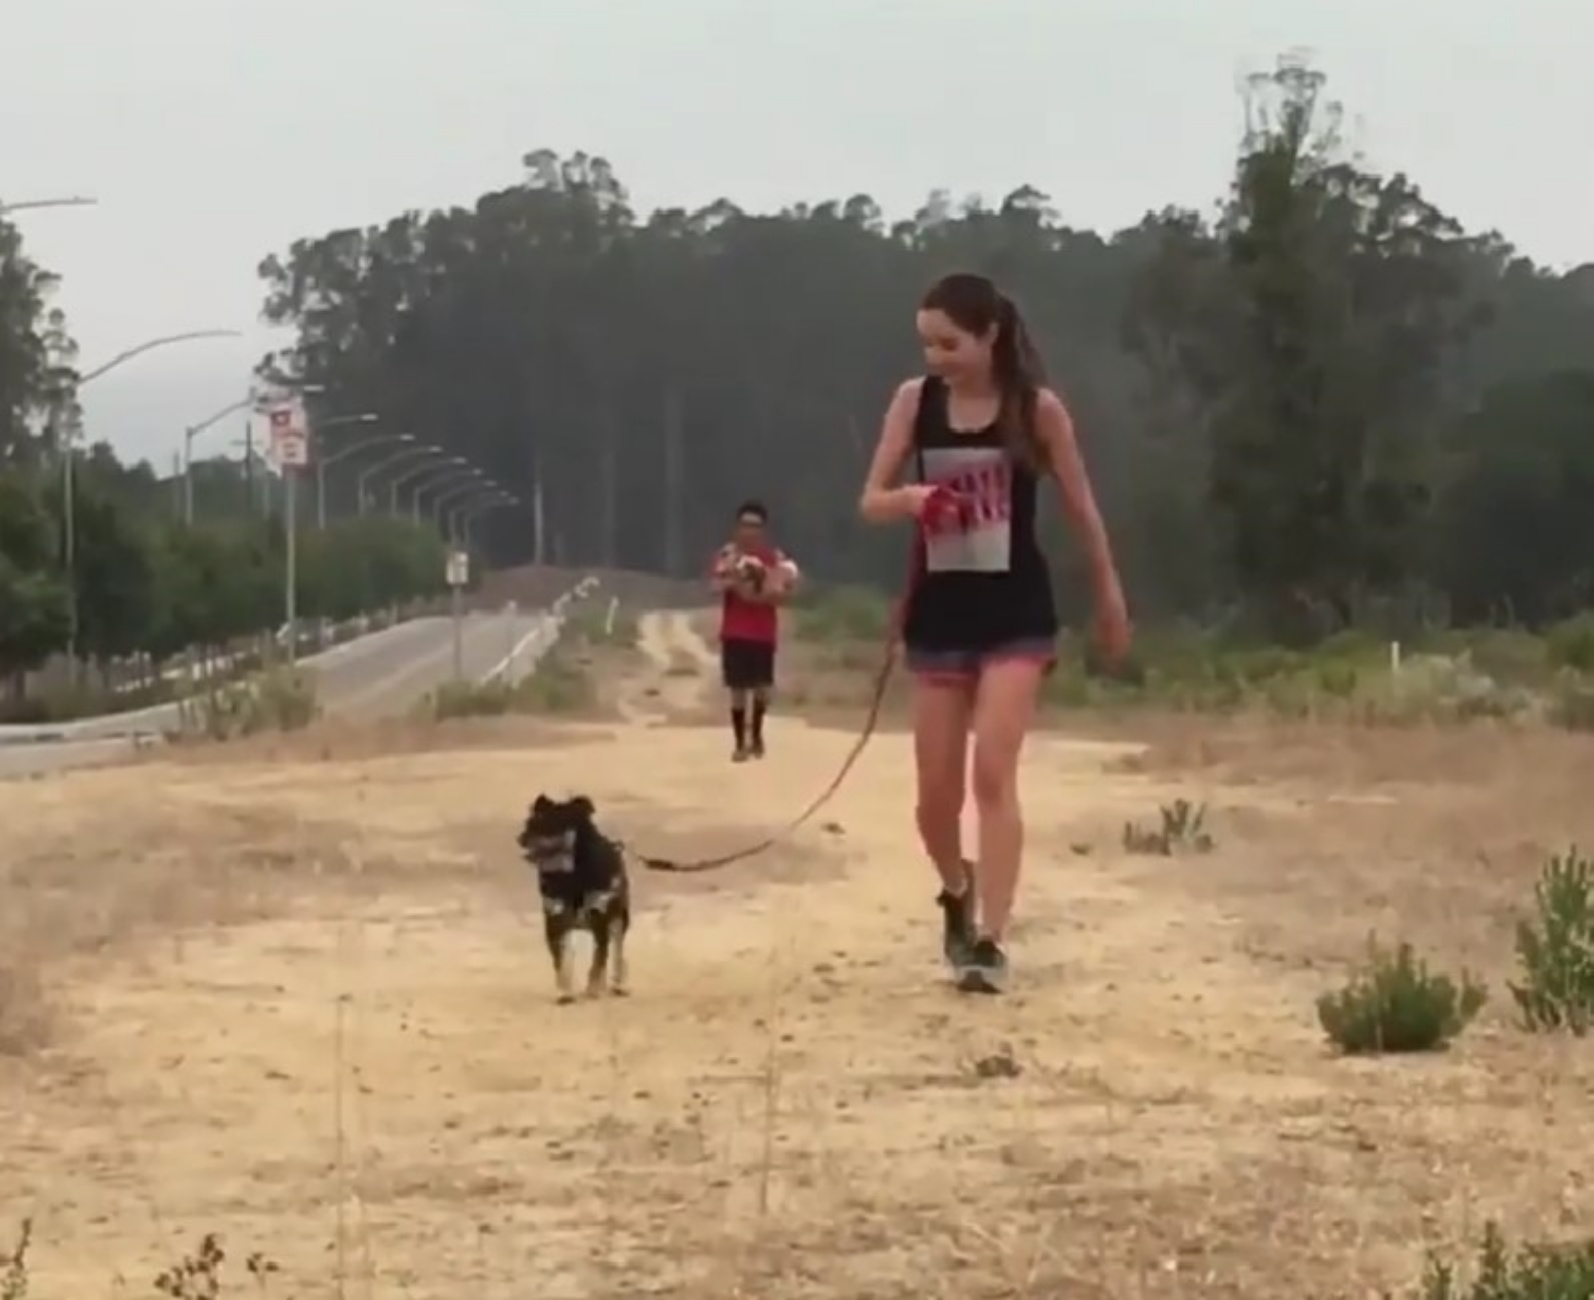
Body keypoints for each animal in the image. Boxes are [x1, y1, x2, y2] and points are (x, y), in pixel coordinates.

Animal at [516, 793, 628, 1006]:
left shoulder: (599, 918)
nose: (520, 839)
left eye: (551, 823)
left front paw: (592, 989)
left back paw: (617, 986)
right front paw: (564, 993)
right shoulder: (556, 920)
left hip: (619, 918)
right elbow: (561, 961)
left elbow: (597, 961)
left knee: (616, 950)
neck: (572, 875)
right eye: (529, 822)